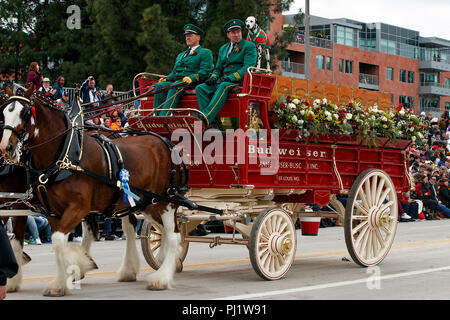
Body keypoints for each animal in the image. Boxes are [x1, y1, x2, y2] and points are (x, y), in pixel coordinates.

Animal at [0, 86, 183, 296]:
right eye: (4, 112)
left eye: (24, 113)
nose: (6, 147)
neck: (64, 155)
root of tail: (166, 143)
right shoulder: (50, 211)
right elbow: (56, 243)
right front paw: (64, 277)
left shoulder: (75, 207)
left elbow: (55, 241)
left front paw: (72, 268)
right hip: (146, 202)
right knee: (148, 230)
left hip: (165, 201)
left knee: (172, 235)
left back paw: (162, 277)